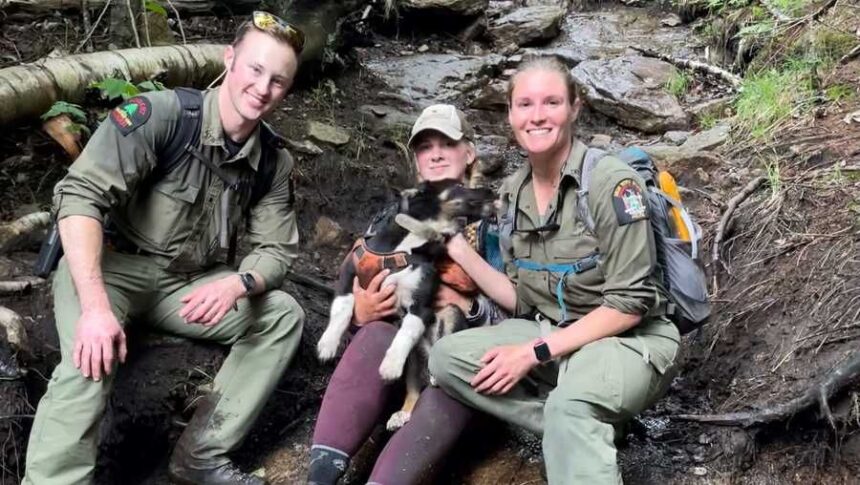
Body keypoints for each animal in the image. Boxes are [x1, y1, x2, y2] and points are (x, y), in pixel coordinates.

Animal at [316, 179, 494, 428]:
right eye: (459, 185)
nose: (490, 190)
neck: (410, 243)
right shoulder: (347, 278)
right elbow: (342, 308)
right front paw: (328, 344)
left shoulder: (420, 307)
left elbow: (405, 333)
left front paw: (390, 365)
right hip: (413, 363)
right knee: (413, 389)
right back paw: (402, 414)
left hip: (450, 313)